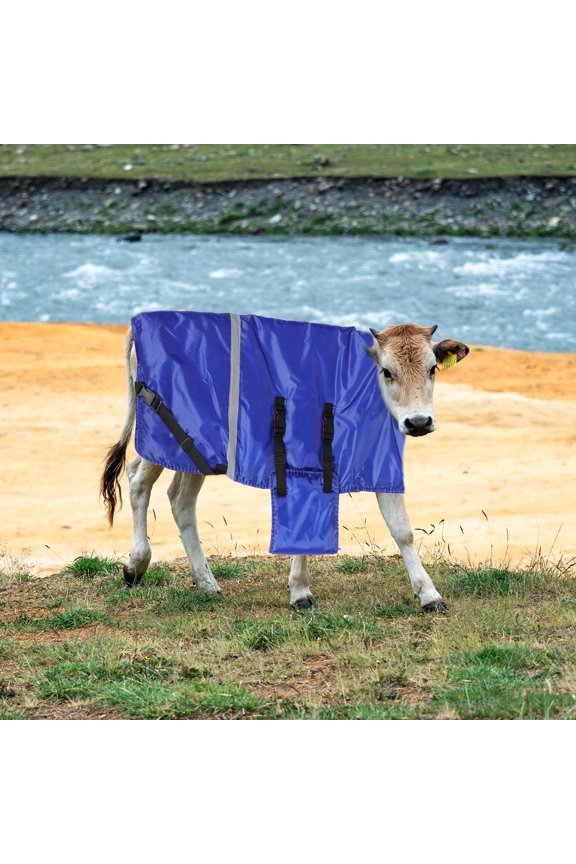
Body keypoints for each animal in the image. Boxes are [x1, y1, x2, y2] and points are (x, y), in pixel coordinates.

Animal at [101, 319, 469, 611]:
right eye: (387, 371)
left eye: (432, 368)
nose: (418, 422)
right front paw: (301, 592)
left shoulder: (380, 462)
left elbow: (402, 529)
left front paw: (428, 594)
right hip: (163, 433)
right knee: (139, 481)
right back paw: (136, 564)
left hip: (195, 450)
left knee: (179, 498)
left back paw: (206, 581)